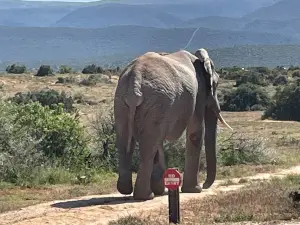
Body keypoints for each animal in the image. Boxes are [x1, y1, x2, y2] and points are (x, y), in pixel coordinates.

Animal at [112, 48, 232, 200]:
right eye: (216, 85)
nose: (205, 186)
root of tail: (135, 79)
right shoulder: (198, 93)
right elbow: (196, 132)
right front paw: (194, 190)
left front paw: (161, 188)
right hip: (157, 100)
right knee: (149, 145)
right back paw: (146, 196)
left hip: (122, 102)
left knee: (125, 141)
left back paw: (127, 190)